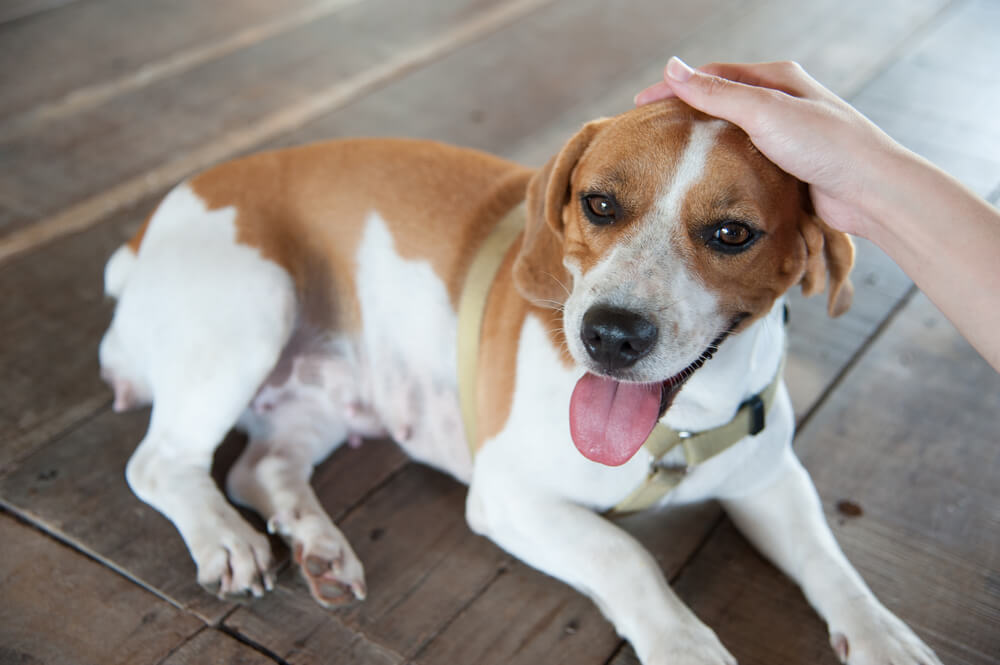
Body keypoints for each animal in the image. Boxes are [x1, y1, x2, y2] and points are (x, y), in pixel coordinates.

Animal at [99, 100, 936, 664]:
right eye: (600, 203)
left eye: (732, 234)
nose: (610, 334)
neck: (677, 423)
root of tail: (143, 236)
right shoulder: (511, 495)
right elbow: (623, 555)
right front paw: (683, 642)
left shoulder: (770, 481)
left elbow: (830, 563)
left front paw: (882, 634)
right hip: (252, 309)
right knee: (158, 464)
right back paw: (225, 537)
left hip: (322, 398)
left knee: (259, 465)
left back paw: (318, 545)